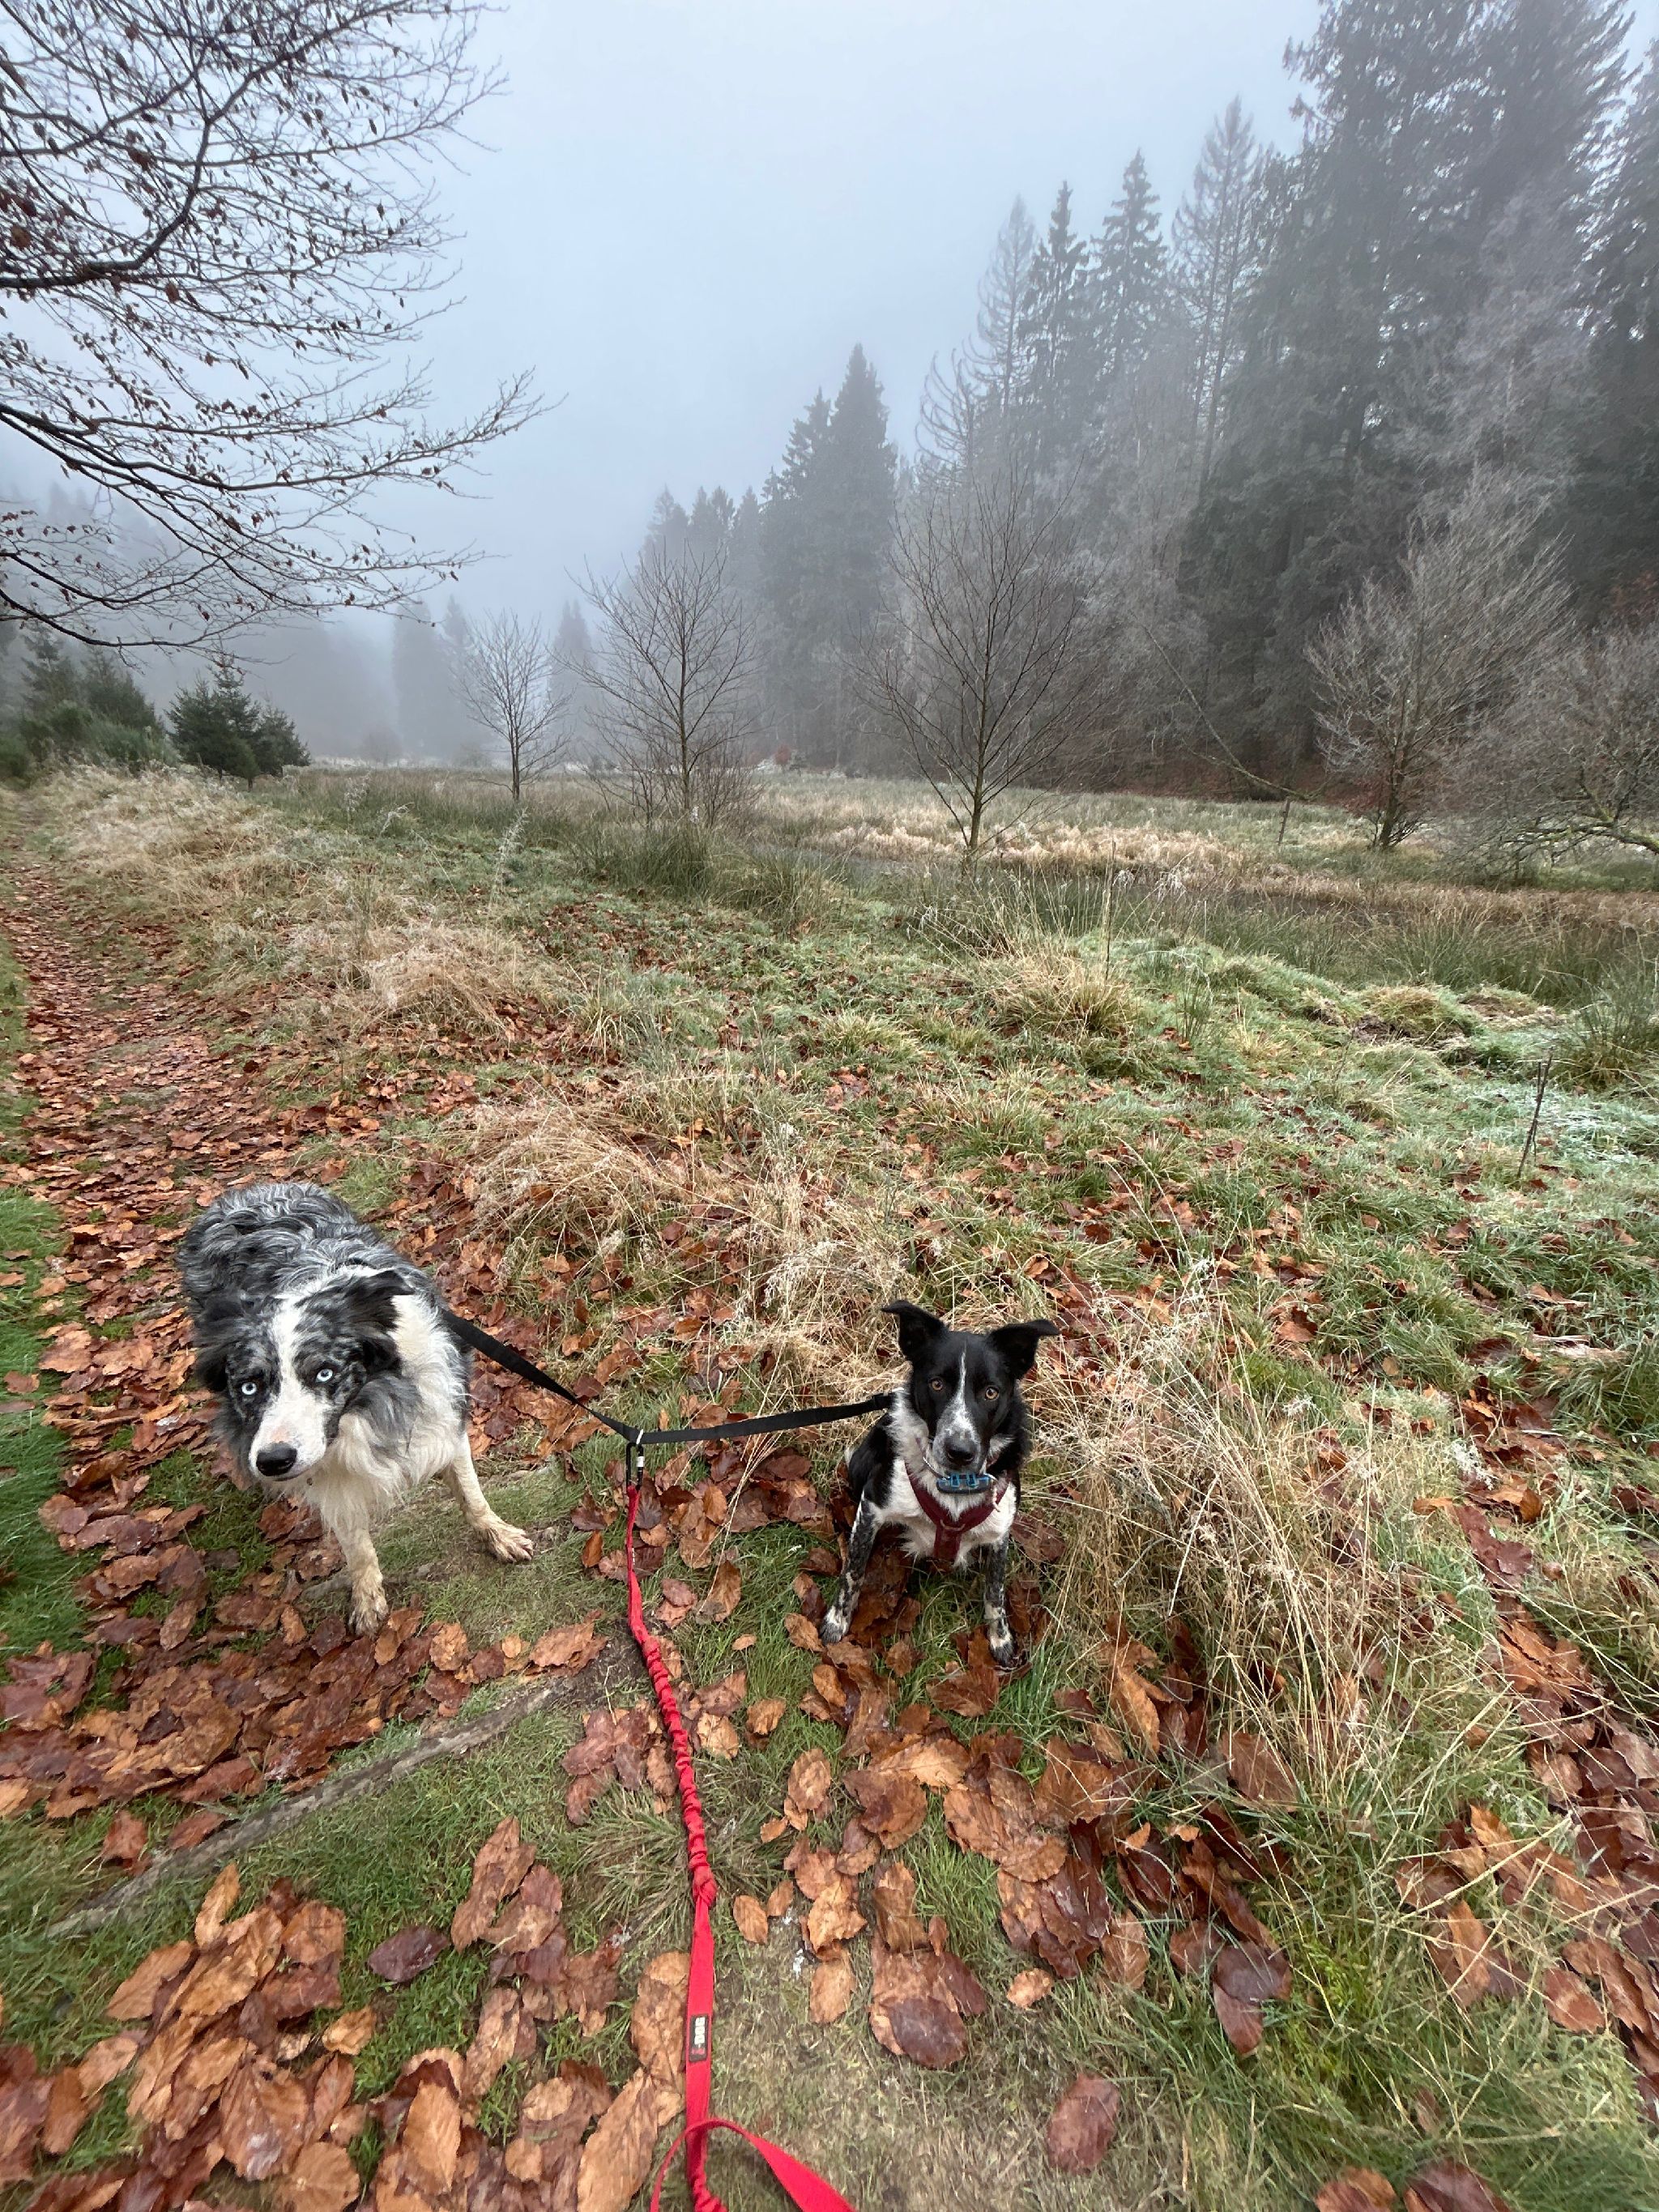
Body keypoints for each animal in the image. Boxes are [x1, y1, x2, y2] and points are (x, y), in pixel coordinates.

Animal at [178, 1182, 533, 1634]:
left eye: (325, 1373)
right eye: (249, 1387)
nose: (273, 1461)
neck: (369, 1409)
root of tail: (244, 1192)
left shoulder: (444, 1417)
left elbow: (472, 1495)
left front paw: (499, 1535)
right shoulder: (330, 1478)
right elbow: (356, 1546)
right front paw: (367, 1598)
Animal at [821, 1302, 1059, 1667]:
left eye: (991, 1392)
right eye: (936, 1384)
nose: (959, 1451)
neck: (955, 1485)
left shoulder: (999, 1530)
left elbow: (995, 1592)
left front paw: (1000, 1639)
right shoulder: (873, 1503)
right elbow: (853, 1570)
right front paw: (837, 1620)